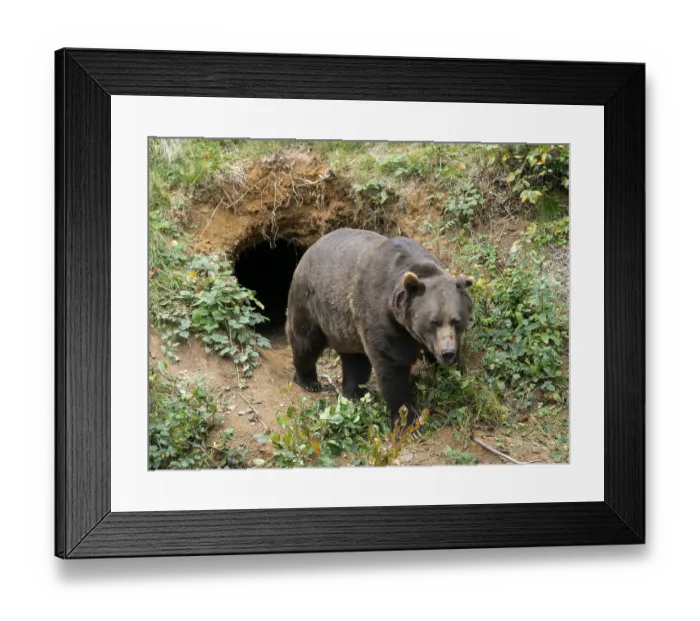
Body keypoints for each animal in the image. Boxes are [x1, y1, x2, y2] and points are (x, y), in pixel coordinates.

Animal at [285, 227, 475, 429]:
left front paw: (455, 376)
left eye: (456, 320)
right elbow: (392, 367)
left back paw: (353, 394)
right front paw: (405, 419)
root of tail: (310, 249)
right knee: (306, 341)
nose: (447, 352)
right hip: (310, 301)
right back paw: (308, 381)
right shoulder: (382, 320)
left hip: (347, 326)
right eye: (434, 321)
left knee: (354, 360)